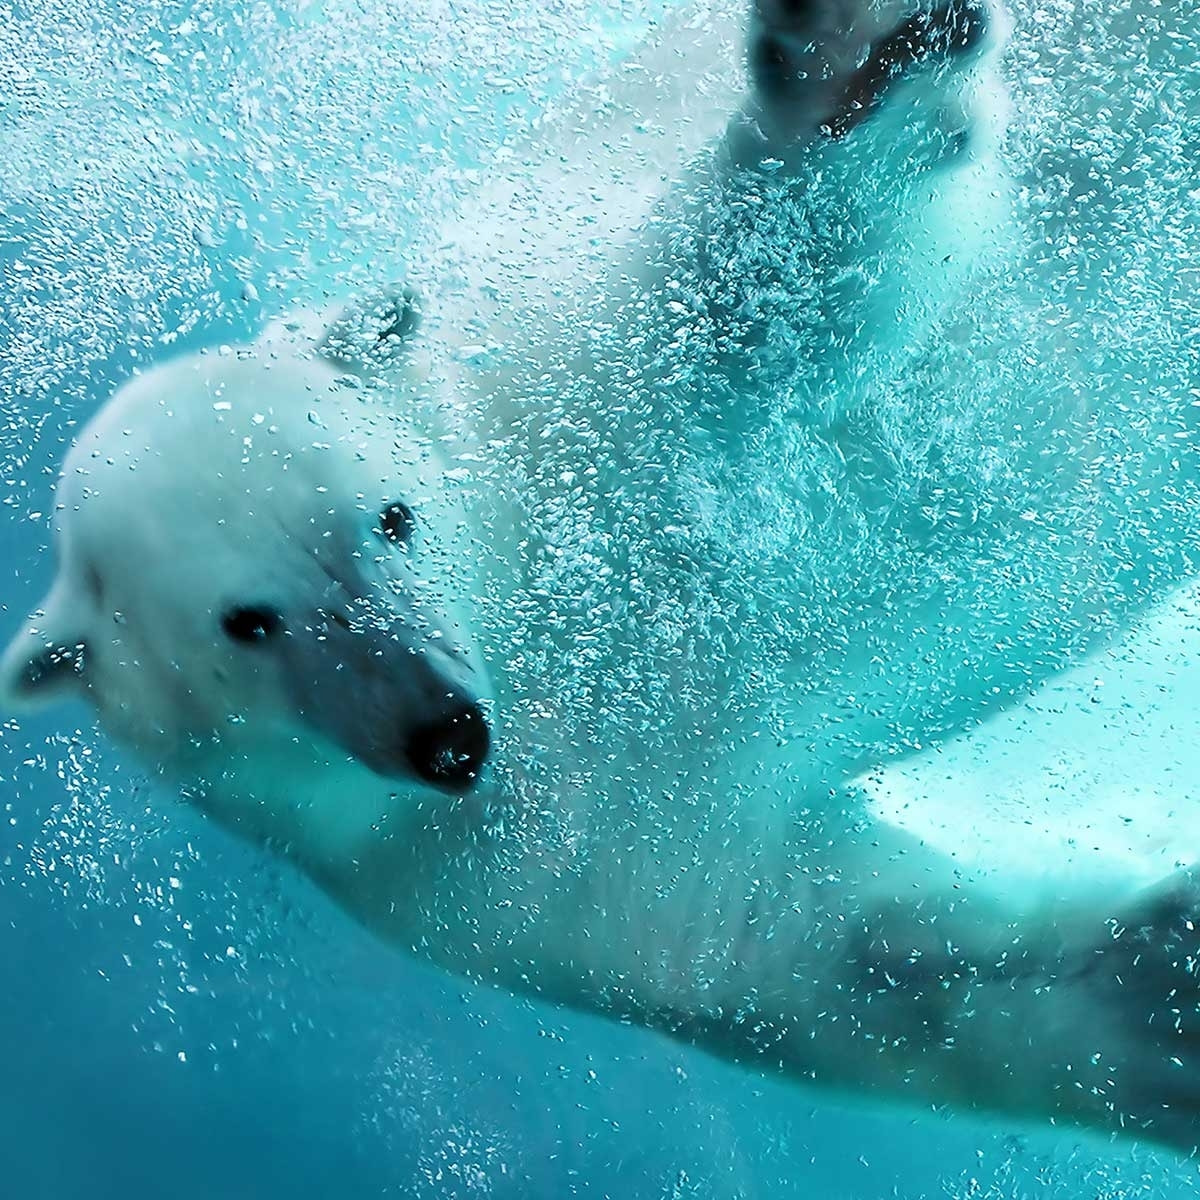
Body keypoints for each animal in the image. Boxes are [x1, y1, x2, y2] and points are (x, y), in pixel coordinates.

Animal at [7, 0, 1200, 1147]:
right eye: (247, 623)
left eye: (391, 517)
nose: (448, 734)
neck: (527, 600)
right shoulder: (503, 870)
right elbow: (822, 951)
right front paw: (1164, 990)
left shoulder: (573, 374)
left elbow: (767, 288)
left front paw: (846, 64)